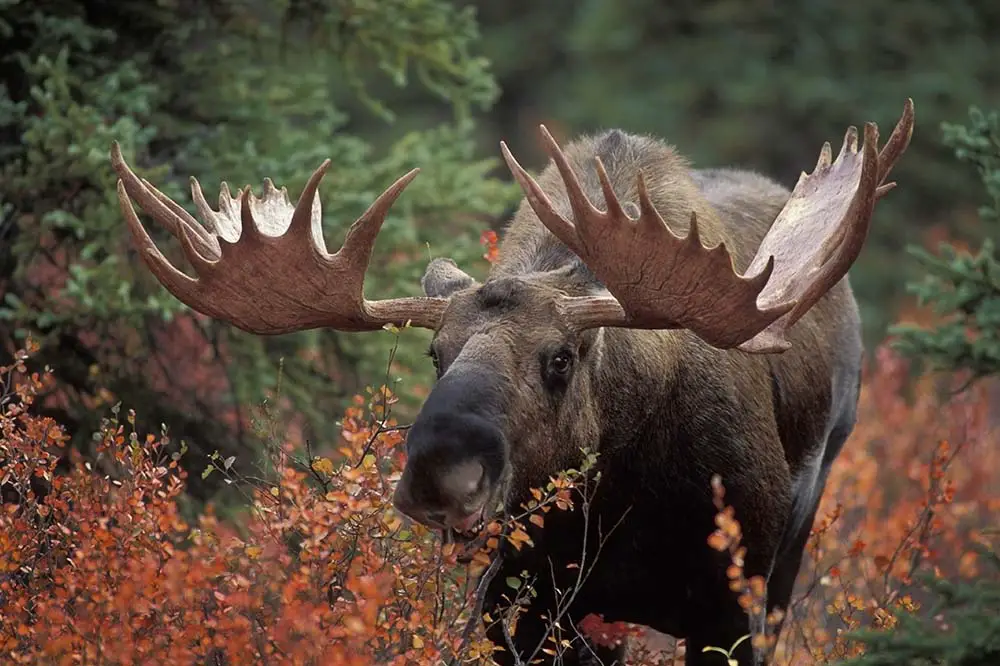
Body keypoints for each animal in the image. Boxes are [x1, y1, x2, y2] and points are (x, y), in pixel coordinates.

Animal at [109, 100, 916, 664]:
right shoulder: (518, 606)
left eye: (561, 357)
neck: (617, 502)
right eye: (435, 353)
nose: (441, 474)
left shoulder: (732, 604)